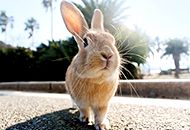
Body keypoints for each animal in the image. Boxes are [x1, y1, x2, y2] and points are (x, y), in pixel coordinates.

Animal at [60, 0, 121, 129]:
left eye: (112, 40)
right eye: (85, 42)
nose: (108, 54)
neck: (96, 80)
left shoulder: (103, 104)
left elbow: (101, 114)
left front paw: (102, 126)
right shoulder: (81, 101)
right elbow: (84, 109)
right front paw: (85, 119)